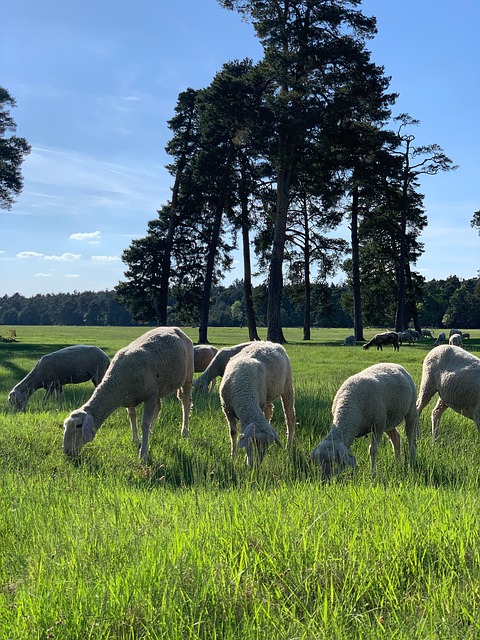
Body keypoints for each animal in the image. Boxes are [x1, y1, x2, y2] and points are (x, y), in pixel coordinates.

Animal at [63, 327, 194, 461]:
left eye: (78, 426)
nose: (67, 452)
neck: (116, 382)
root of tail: (175, 328)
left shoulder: (149, 395)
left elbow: (144, 423)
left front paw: (143, 454)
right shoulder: (129, 397)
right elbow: (132, 417)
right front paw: (136, 440)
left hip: (188, 375)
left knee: (186, 404)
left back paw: (184, 432)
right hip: (158, 388)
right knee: (158, 407)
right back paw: (150, 433)